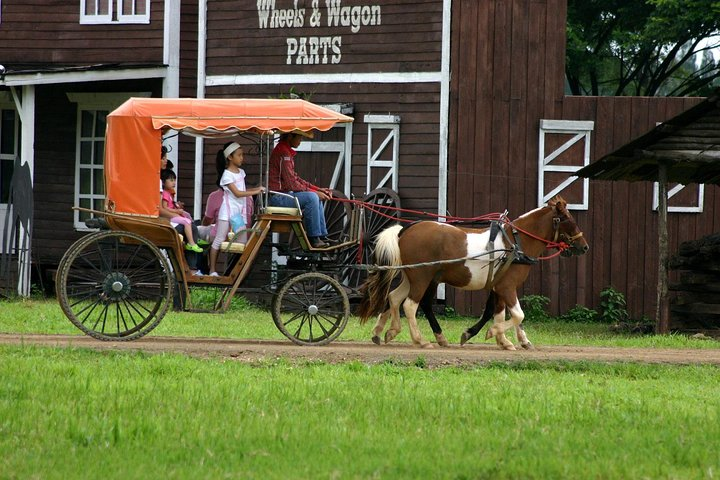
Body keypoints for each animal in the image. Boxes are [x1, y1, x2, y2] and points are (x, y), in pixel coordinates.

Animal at [358, 195, 588, 348]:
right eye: (567, 219)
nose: (584, 246)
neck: (515, 242)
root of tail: (406, 230)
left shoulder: (499, 286)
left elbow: (499, 313)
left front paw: (509, 341)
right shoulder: (507, 286)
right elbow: (517, 314)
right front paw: (491, 333)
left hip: (412, 277)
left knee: (394, 298)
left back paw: (388, 332)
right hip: (422, 278)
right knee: (410, 305)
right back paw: (420, 340)